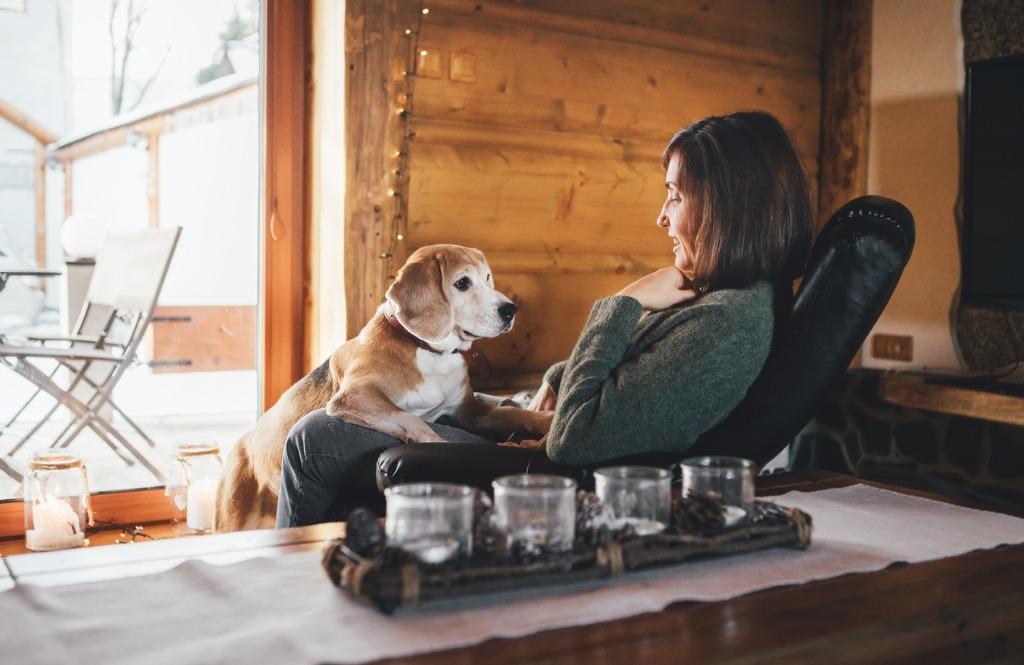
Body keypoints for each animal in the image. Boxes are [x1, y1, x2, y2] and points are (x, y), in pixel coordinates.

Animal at [212, 243, 548, 528]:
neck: (428, 350)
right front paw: (440, 444)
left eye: (488, 278)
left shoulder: (467, 411)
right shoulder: (354, 397)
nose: (510, 310)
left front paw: (545, 420)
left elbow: (515, 412)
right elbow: (412, 419)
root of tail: (240, 445)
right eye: (462, 283)